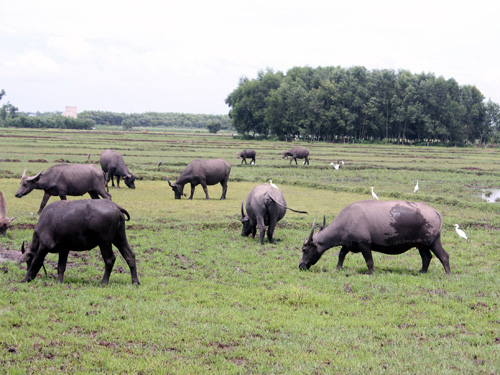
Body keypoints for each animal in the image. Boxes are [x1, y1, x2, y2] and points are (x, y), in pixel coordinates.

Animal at [298, 200, 452, 276]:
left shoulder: (364, 244)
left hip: (432, 242)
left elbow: (369, 261)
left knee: (444, 256)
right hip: (421, 245)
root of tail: (435, 212)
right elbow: (341, 255)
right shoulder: (348, 244)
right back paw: (422, 272)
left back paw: (448, 274)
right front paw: (338, 268)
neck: (347, 220)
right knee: (427, 257)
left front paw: (370, 273)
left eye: (304, 249)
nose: (301, 265)